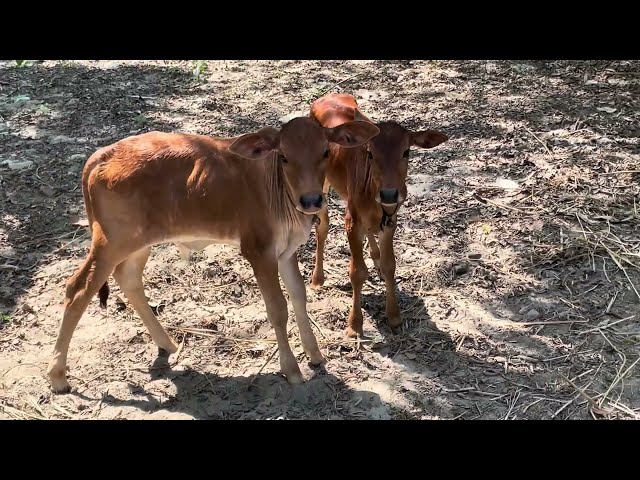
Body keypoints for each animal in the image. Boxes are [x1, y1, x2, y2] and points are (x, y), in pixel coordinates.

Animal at [50, 117, 380, 394]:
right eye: (285, 156)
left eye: (325, 152)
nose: (311, 200)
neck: (278, 189)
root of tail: (101, 155)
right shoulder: (259, 251)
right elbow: (277, 309)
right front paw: (292, 369)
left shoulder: (286, 251)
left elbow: (299, 296)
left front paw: (315, 355)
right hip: (112, 241)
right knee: (77, 289)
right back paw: (58, 376)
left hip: (138, 242)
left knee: (128, 279)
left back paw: (168, 344)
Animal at [308, 94, 448, 338]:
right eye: (371, 154)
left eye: (406, 152)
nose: (389, 193)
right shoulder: (351, 221)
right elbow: (357, 272)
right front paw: (354, 325)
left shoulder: (391, 220)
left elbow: (390, 264)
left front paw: (394, 317)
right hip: (321, 182)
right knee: (322, 226)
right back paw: (318, 279)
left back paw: (374, 255)